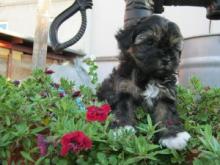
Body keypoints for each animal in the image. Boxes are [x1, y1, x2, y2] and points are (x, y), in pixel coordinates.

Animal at [97, 15, 190, 150]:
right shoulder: (124, 88)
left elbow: (167, 114)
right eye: (150, 42)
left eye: (174, 47)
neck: (149, 75)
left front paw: (173, 136)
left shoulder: (165, 94)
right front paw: (122, 129)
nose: (167, 58)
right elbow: (123, 108)